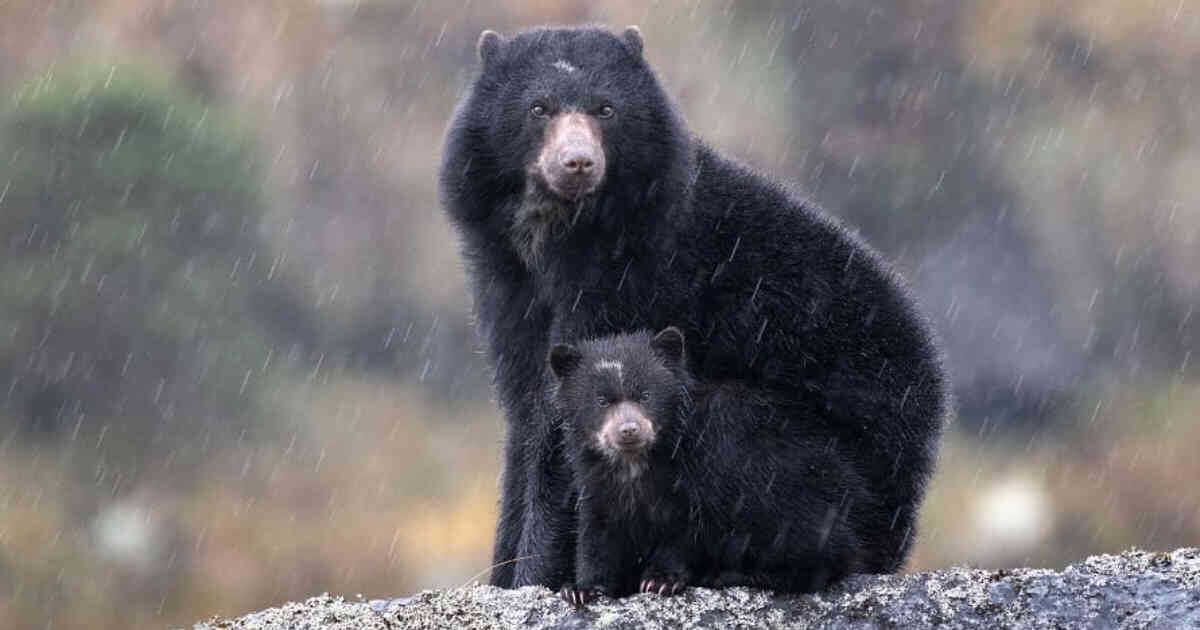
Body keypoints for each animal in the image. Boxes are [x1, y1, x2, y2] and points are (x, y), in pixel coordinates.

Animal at [549, 327, 878, 605]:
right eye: (602, 401)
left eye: (645, 394)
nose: (629, 431)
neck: (637, 463)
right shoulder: (598, 481)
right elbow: (597, 533)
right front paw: (580, 589)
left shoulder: (697, 472)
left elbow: (689, 530)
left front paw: (661, 581)